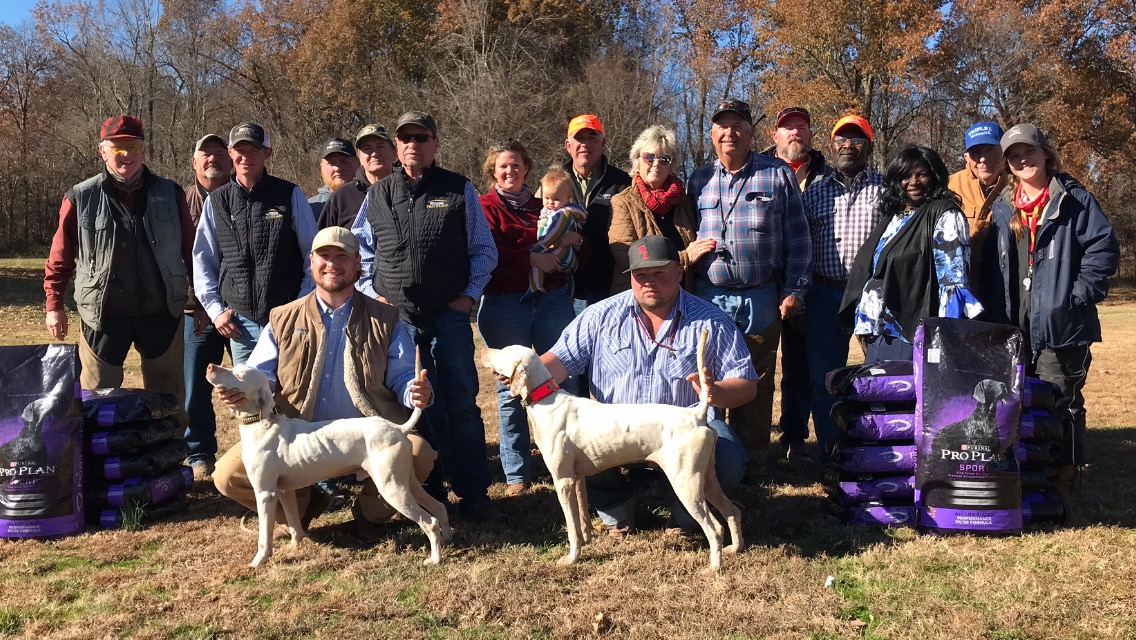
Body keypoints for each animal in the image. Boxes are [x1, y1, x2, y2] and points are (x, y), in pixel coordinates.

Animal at [206, 363, 449, 568]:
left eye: (239, 375)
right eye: (234, 366)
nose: (210, 366)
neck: (263, 426)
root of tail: (397, 428)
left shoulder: (265, 494)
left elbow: (264, 538)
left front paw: (258, 562)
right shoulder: (284, 491)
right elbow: (294, 524)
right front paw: (295, 546)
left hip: (392, 489)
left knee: (429, 521)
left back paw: (435, 559)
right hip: (407, 482)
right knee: (439, 507)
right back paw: (447, 538)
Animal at [481, 329, 740, 570]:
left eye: (503, 352)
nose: (483, 351)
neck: (548, 402)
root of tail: (696, 414)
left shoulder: (562, 480)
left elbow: (572, 527)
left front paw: (571, 558)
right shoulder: (577, 479)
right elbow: (582, 520)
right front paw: (586, 542)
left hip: (686, 483)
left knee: (715, 528)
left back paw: (714, 567)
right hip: (707, 479)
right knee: (733, 511)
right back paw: (735, 549)